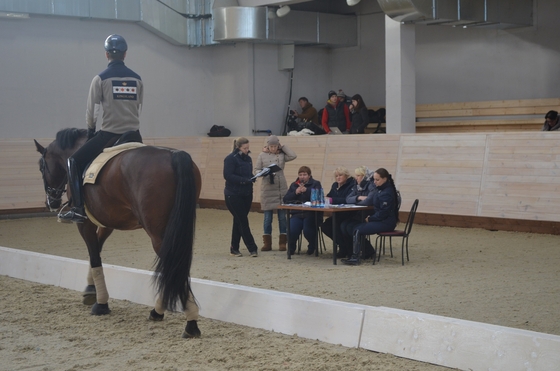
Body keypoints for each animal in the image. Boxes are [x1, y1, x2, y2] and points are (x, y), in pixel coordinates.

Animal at [34, 129, 202, 340]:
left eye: (42, 167)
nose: (51, 203)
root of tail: (175, 155)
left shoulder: (85, 223)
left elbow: (94, 256)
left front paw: (101, 303)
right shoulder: (107, 224)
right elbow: (96, 251)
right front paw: (90, 291)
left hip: (158, 233)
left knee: (173, 265)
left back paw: (190, 323)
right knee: (174, 266)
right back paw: (160, 312)